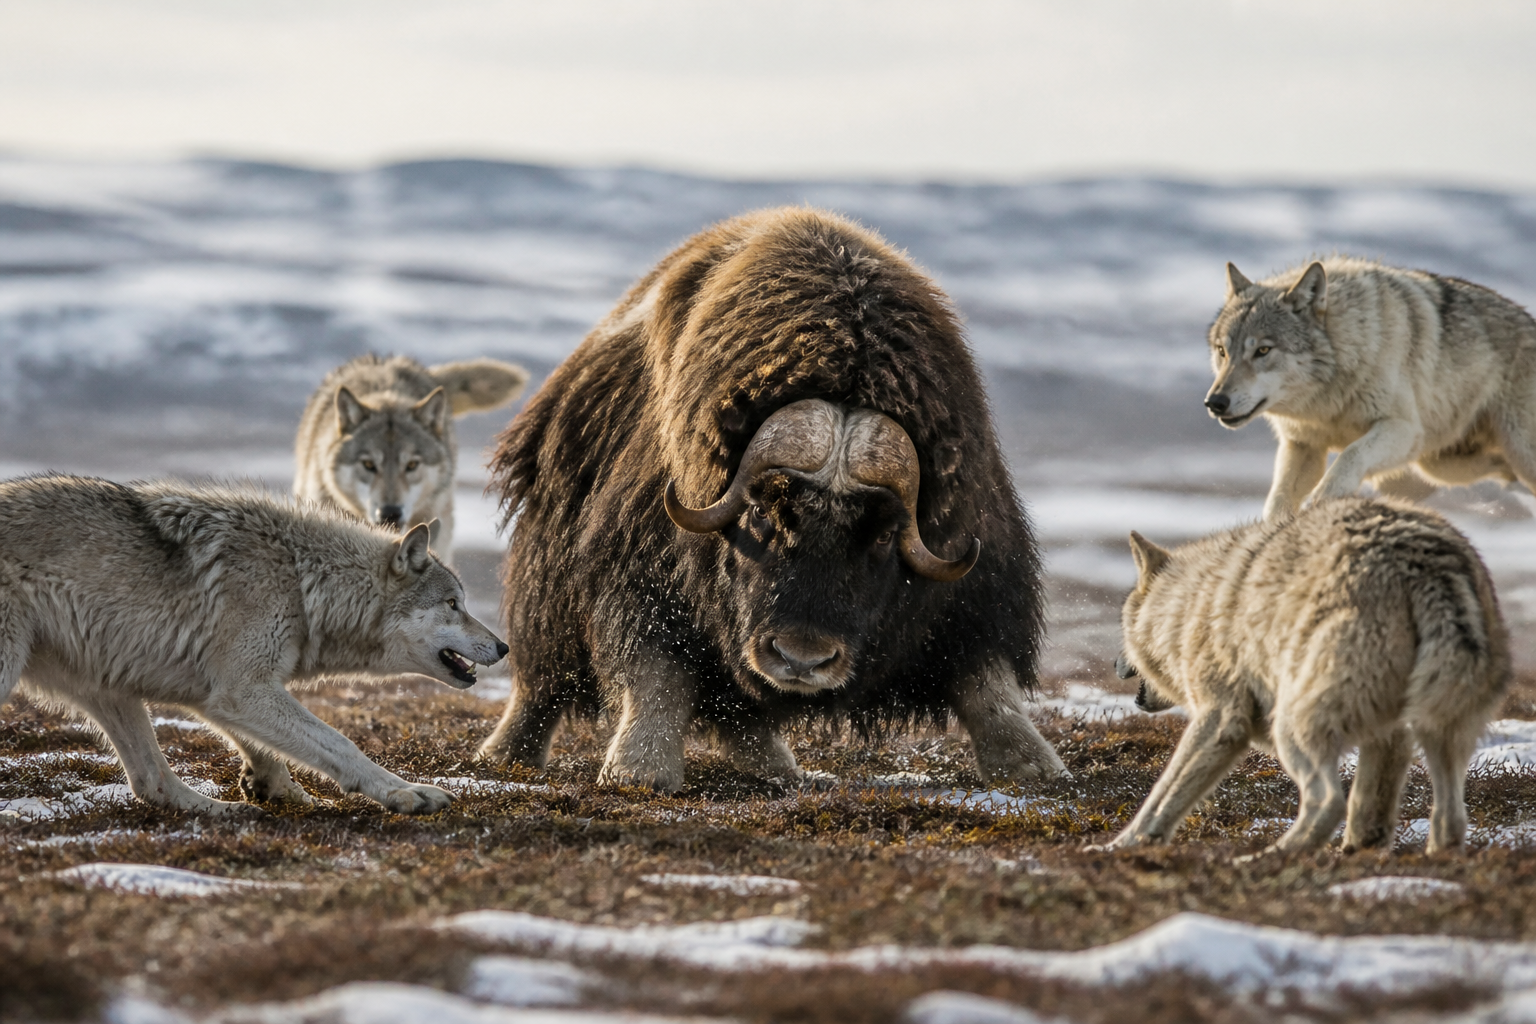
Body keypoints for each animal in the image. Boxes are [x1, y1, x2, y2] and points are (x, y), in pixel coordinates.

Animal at [0, 475, 509, 815]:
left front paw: (279, 789)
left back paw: (227, 812)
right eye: (453, 604)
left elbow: (274, 750)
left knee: (152, 782)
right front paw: (405, 792)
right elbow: (341, 743)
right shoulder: (241, 690)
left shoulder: (215, 694)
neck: (302, 581)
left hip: (108, 687)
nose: (504, 648)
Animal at [1102, 498, 1508, 857]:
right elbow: (1370, 808)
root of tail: (1424, 561)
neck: (1188, 607)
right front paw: (1361, 855)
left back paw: (1265, 859)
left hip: (1292, 727)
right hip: (1440, 728)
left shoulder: (1221, 718)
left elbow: (1161, 795)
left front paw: (1120, 845)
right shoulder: (1390, 734)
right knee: (1451, 816)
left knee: (1327, 802)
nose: (1115, 664)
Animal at [1204, 257, 1536, 521]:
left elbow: (1350, 456)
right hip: (1439, 466)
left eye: (1262, 350)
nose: (1214, 402)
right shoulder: (1302, 445)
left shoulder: (1403, 430)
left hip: (1510, 455)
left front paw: (1322, 501)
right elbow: (1277, 500)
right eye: (1222, 351)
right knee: (1502, 471)